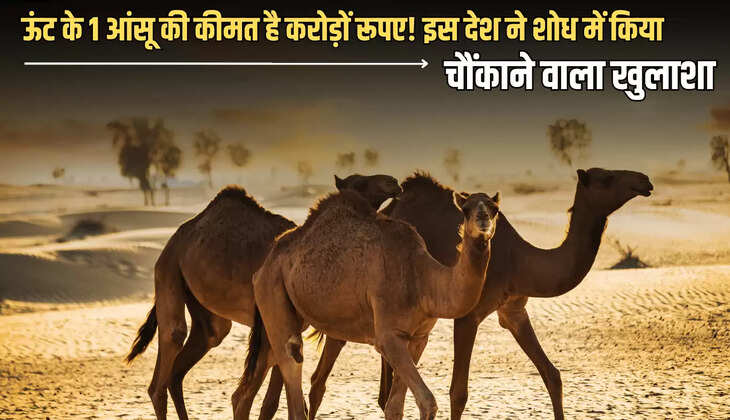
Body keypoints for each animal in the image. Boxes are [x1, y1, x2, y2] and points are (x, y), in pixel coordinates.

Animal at [124, 174, 402, 420]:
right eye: (360, 182)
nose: (393, 182)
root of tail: (178, 236)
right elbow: (263, 399)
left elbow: (269, 399)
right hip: (167, 269)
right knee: (168, 352)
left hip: (205, 312)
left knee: (198, 348)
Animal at [240, 187, 501, 420]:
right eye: (465, 209)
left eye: (495, 209)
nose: (483, 219)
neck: (423, 280)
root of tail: (266, 262)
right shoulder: (388, 336)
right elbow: (427, 402)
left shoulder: (418, 338)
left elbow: (395, 408)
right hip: (272, 288)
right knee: (291, 356)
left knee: (249, 385)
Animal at [305, 168, 653, 420]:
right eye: (606, 178)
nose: (644, 180)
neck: (519, 260)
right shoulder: (468, 315)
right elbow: (458, 392)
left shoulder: (513, 311)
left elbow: (552, 375)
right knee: (321, 379)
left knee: (384, 391)